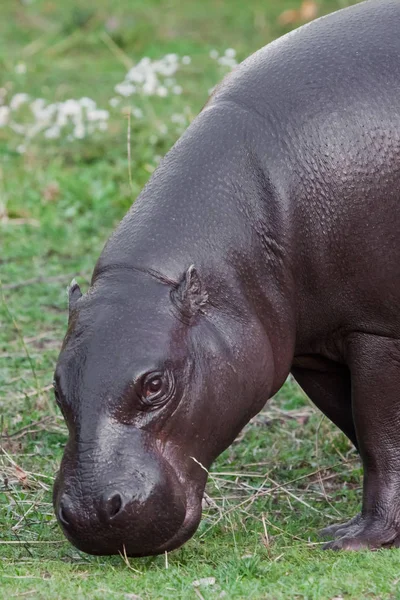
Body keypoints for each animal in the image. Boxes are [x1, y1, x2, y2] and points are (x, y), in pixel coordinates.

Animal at [53, 0, 400, 552]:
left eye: (155, 384)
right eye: (57, 386)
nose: (90, 512)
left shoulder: (375, 328)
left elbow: (379, 435)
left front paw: (355, 538)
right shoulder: (310, 347)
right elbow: (356, 426)